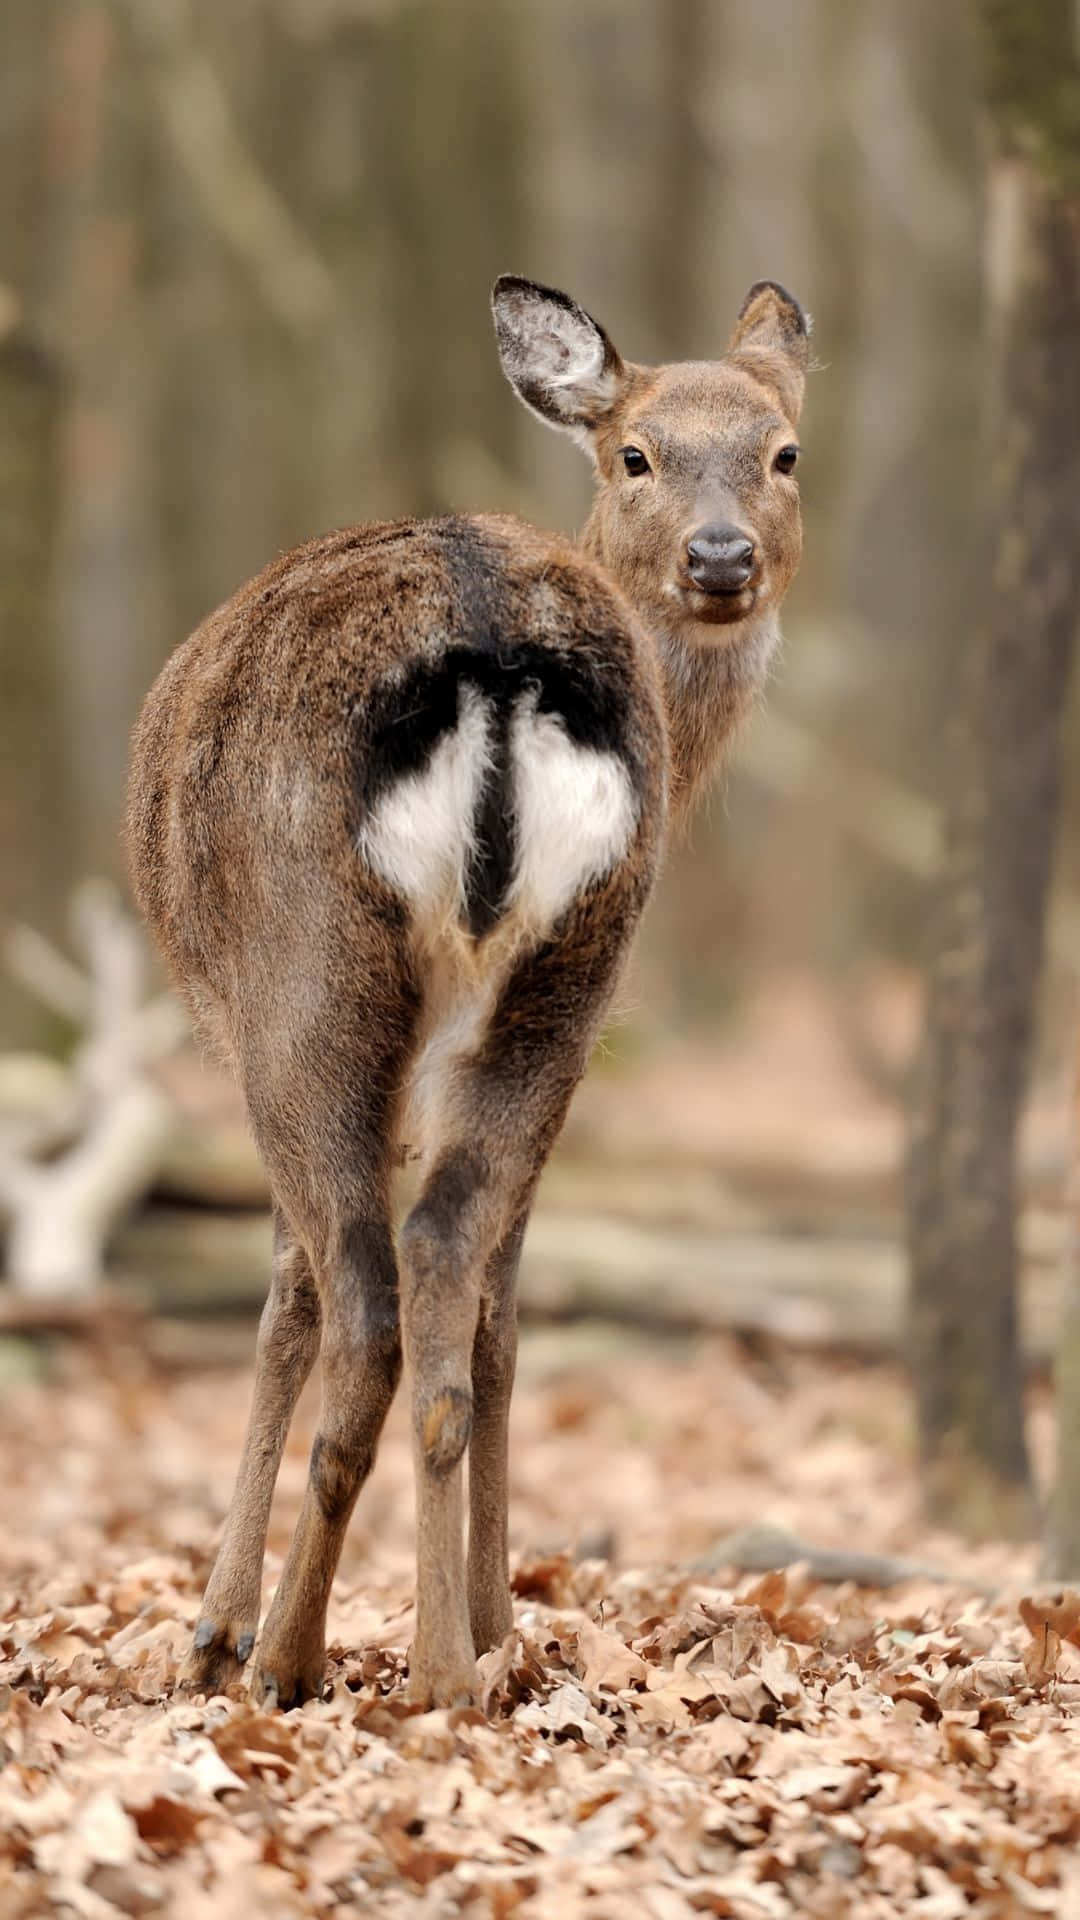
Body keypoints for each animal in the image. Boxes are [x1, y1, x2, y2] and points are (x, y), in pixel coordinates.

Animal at [127, 275, 809, 1710]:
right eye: (635, 454)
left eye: (784, 453)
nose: (723, 559)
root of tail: (496, 659)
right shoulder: (584, 1038)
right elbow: (503, 1317)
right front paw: (502, 1619)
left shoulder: (247, 1028)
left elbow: (284, 1304)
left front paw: (214, 1629)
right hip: (568, 975)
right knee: (446, 1256)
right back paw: (450, 1664)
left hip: (307, 982)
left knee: (359, 1297)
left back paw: (289, 1655)